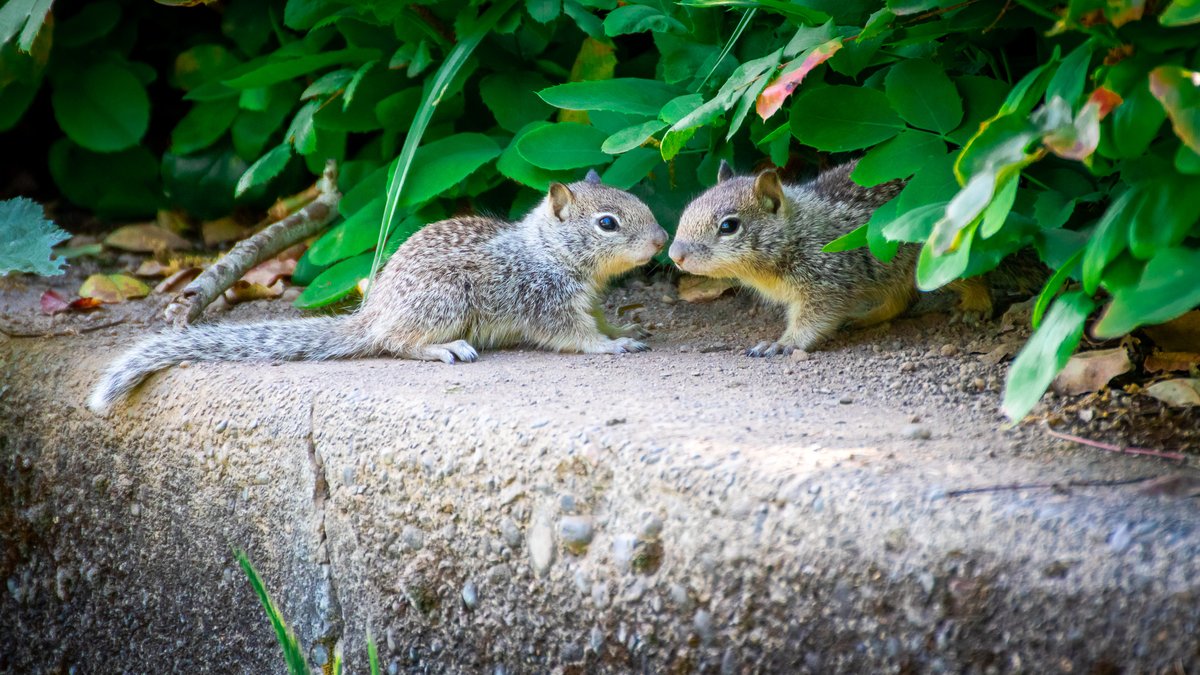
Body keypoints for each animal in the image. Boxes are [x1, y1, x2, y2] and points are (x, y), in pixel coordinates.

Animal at [88, 171, 667, 414]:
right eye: (608, 222)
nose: (663, 241)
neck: (549, 249)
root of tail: (372, 313)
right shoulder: (546, 301)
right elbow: (575, 336)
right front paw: (611, 346)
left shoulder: (586, 299)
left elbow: (601, 319)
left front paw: (626, 327)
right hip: (444, 302)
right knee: (395, 342)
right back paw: (443, 349)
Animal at [669, 160, 1042, 356]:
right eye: (687, 208)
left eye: (729, 226)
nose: (674, 255)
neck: (799, 230)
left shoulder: (825, 285)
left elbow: (811, 322)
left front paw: (781, 344)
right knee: (900, 301)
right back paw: (864, 318)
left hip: (939, 261)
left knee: (976, 279)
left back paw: (973, 308)